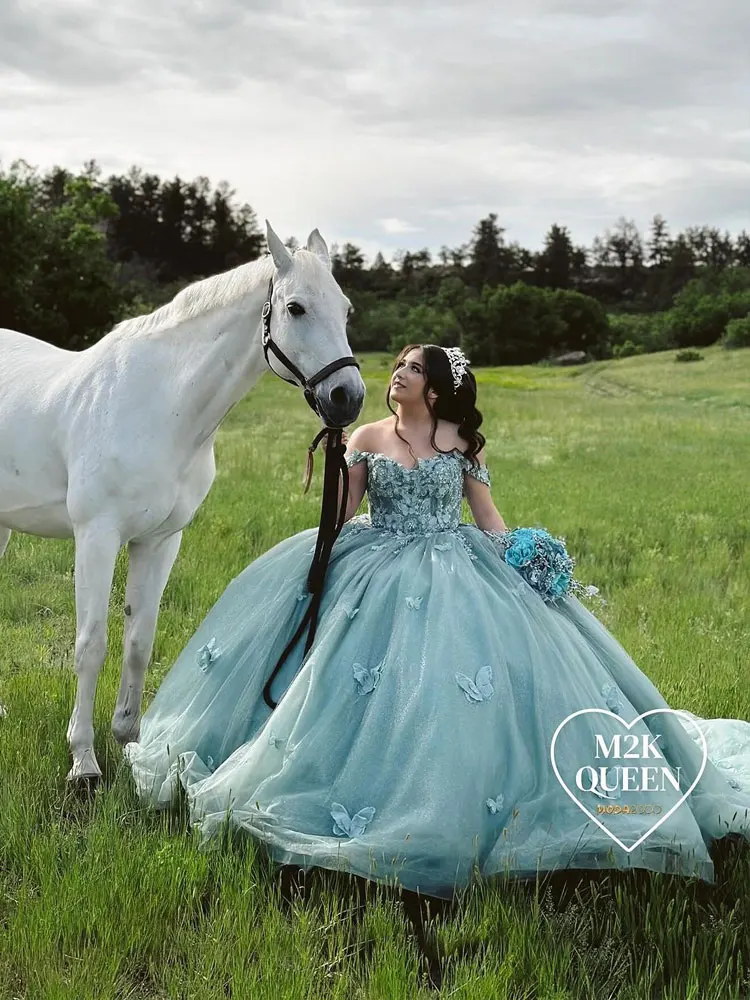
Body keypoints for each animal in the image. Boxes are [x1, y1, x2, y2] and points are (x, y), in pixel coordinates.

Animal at [0, 223, 364, 784]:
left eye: (345, 309)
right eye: (296, 308)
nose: (348, 396)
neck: (158, 404)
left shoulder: (160, 541)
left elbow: (139, 641)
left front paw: (131, 744)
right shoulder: (96, 536)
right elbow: (91, 644)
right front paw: (83, 762)